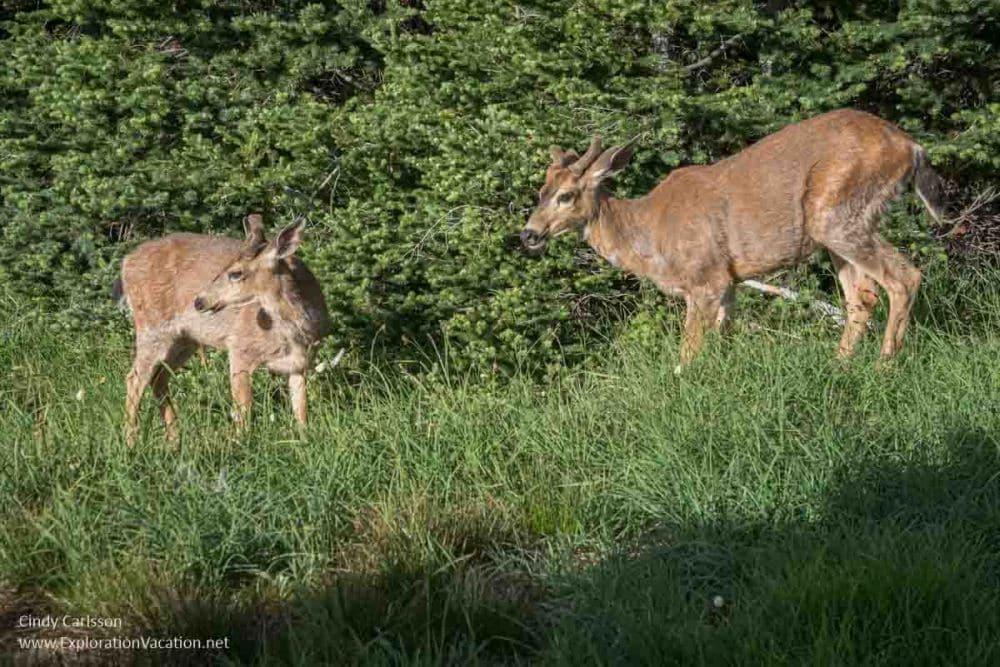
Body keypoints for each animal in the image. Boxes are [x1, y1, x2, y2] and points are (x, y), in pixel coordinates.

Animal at [113, 214, 332, 446]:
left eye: (235, 273)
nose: (199, 301)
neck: (295, 332)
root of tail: (125, 262)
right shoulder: (239, 347)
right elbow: (243, 408)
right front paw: (241, 444)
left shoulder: (300, 363)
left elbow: (301, 408)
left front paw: (304, 440)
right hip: (152, 328)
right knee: (134, 378)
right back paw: (131, 443)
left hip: (184, 340)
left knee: (158, 378)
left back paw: (174, 440)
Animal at [524, 108, 944, 366]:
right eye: (540, 191)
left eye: (566, 195)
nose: (529, 234)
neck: (651, 235)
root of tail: (912, 146)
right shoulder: (729, 283)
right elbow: (722, 344)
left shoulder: (705, 278)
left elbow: (687, 353)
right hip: (837, 230)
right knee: (863, 296)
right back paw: (839, 365)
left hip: (836, 215)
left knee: (904, 278)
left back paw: (882, 367)